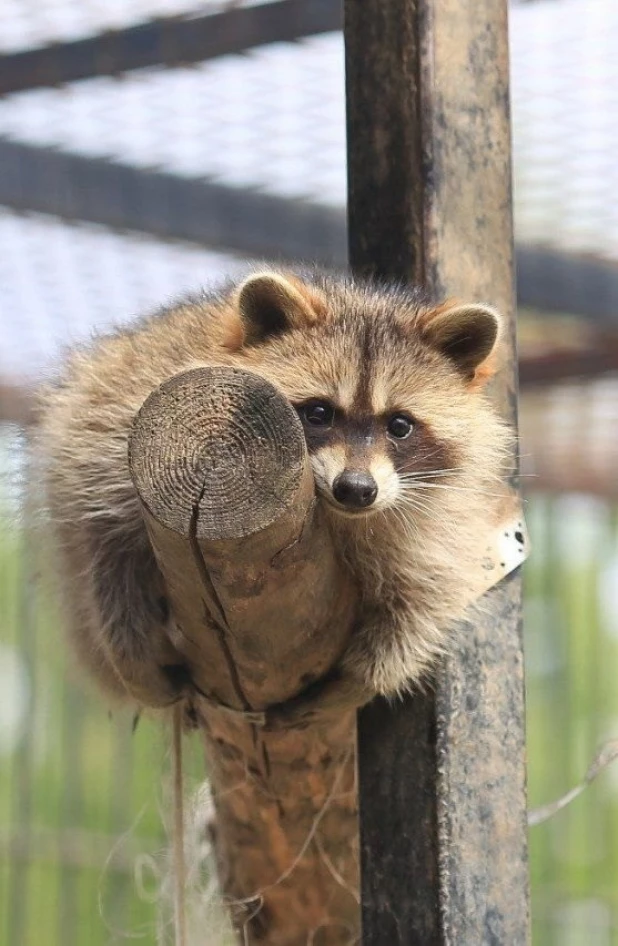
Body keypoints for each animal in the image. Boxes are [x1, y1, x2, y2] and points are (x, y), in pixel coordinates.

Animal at [35, 270, 510, 720]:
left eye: (399, 425)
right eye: (318, 412)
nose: (356, 489)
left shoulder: (437, 518)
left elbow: (425, 594)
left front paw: (364, 678)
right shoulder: (114, 422)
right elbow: (101, 534)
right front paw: (127, 641)